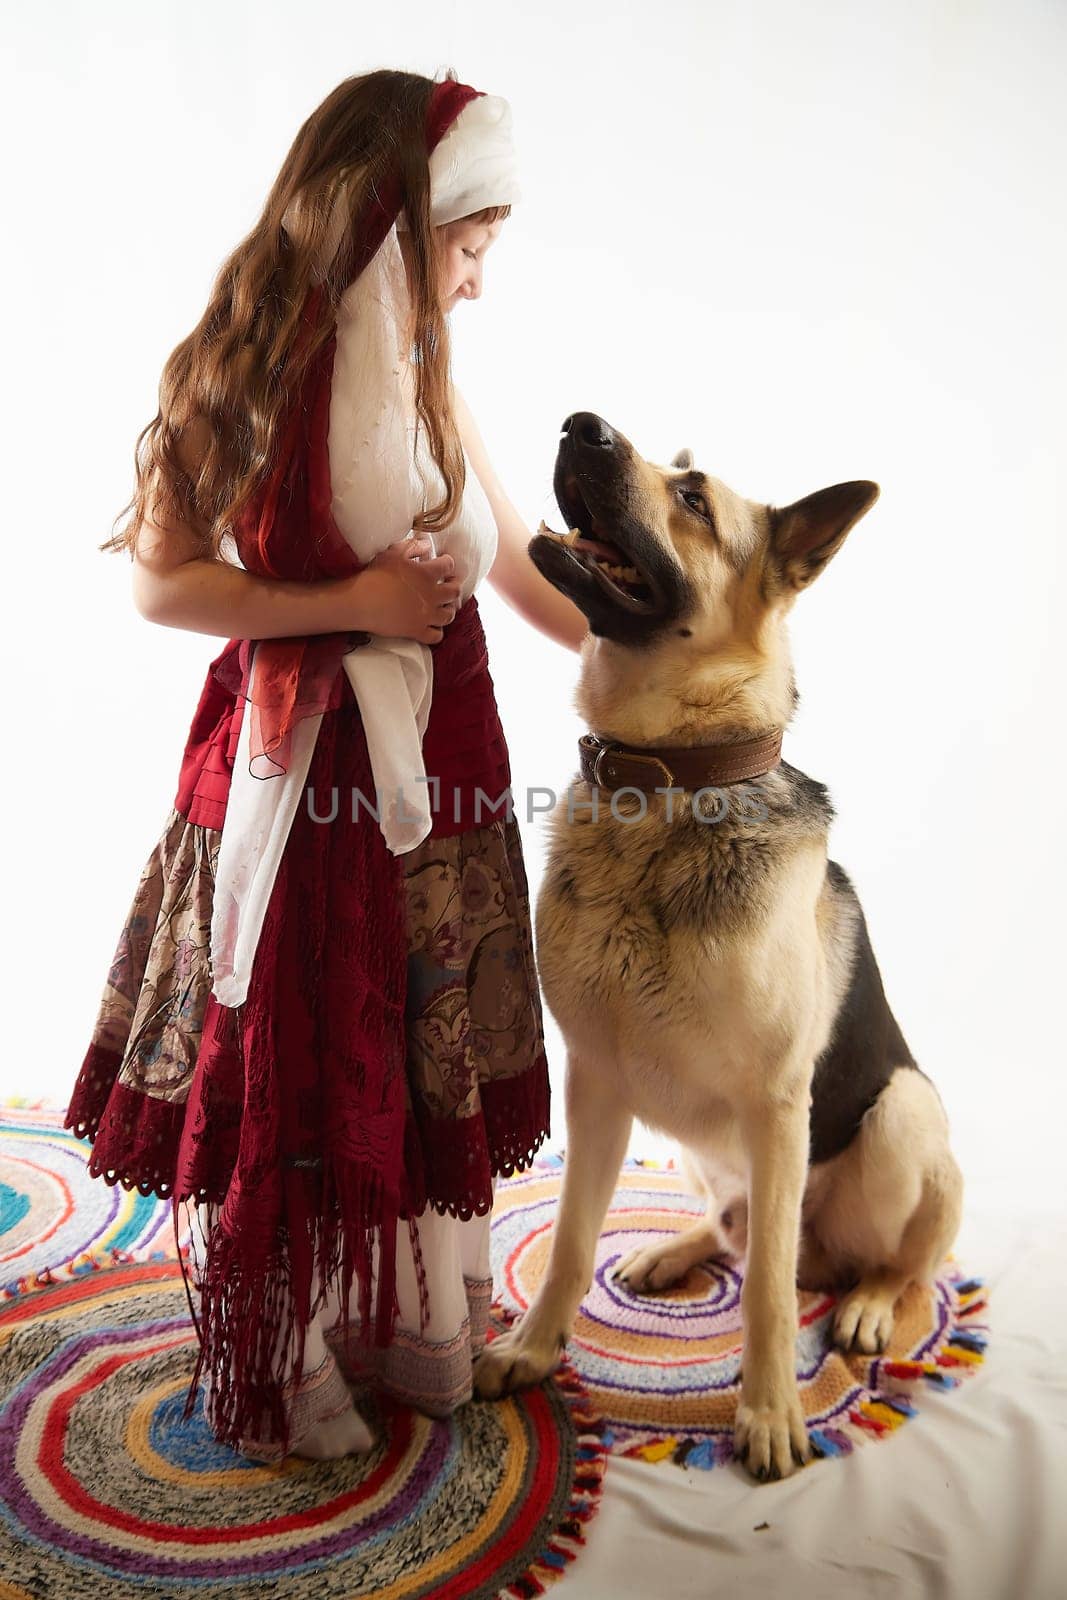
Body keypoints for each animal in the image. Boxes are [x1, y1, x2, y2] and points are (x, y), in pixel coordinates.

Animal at [470, 416, 966, 1484]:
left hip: (901, 1116)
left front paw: (770, 1414)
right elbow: (567, 1242)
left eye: (693, 501)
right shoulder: (594, 1082)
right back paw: (675, 1249)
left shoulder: (779, 1105)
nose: (579, 423)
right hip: (704, 1152)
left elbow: (772, 1299)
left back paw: (867, 1305)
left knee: (889, 1264)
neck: (663, 783)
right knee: (738, 1233)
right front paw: (532, 1348)